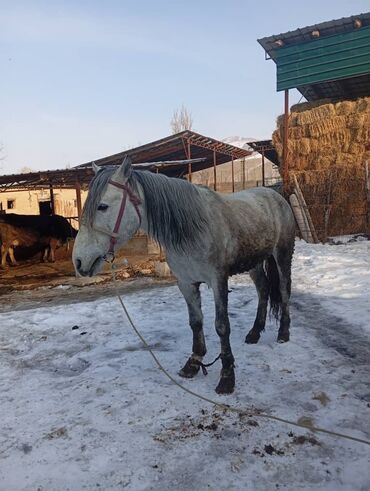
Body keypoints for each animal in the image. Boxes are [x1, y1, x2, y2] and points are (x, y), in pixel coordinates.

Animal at [73, 159, 296, 396]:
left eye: (102, 206)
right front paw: (193, 364)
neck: (193, 229)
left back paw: (283, 332)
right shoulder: (186, 283)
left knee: (283, 290)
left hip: (282, 254)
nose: (78, 261)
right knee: (263, 290)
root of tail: (274, 195)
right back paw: (254, 333)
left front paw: (227, 377)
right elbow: (195, 323)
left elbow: (222, 326)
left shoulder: (218, 281)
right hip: (254, 263)